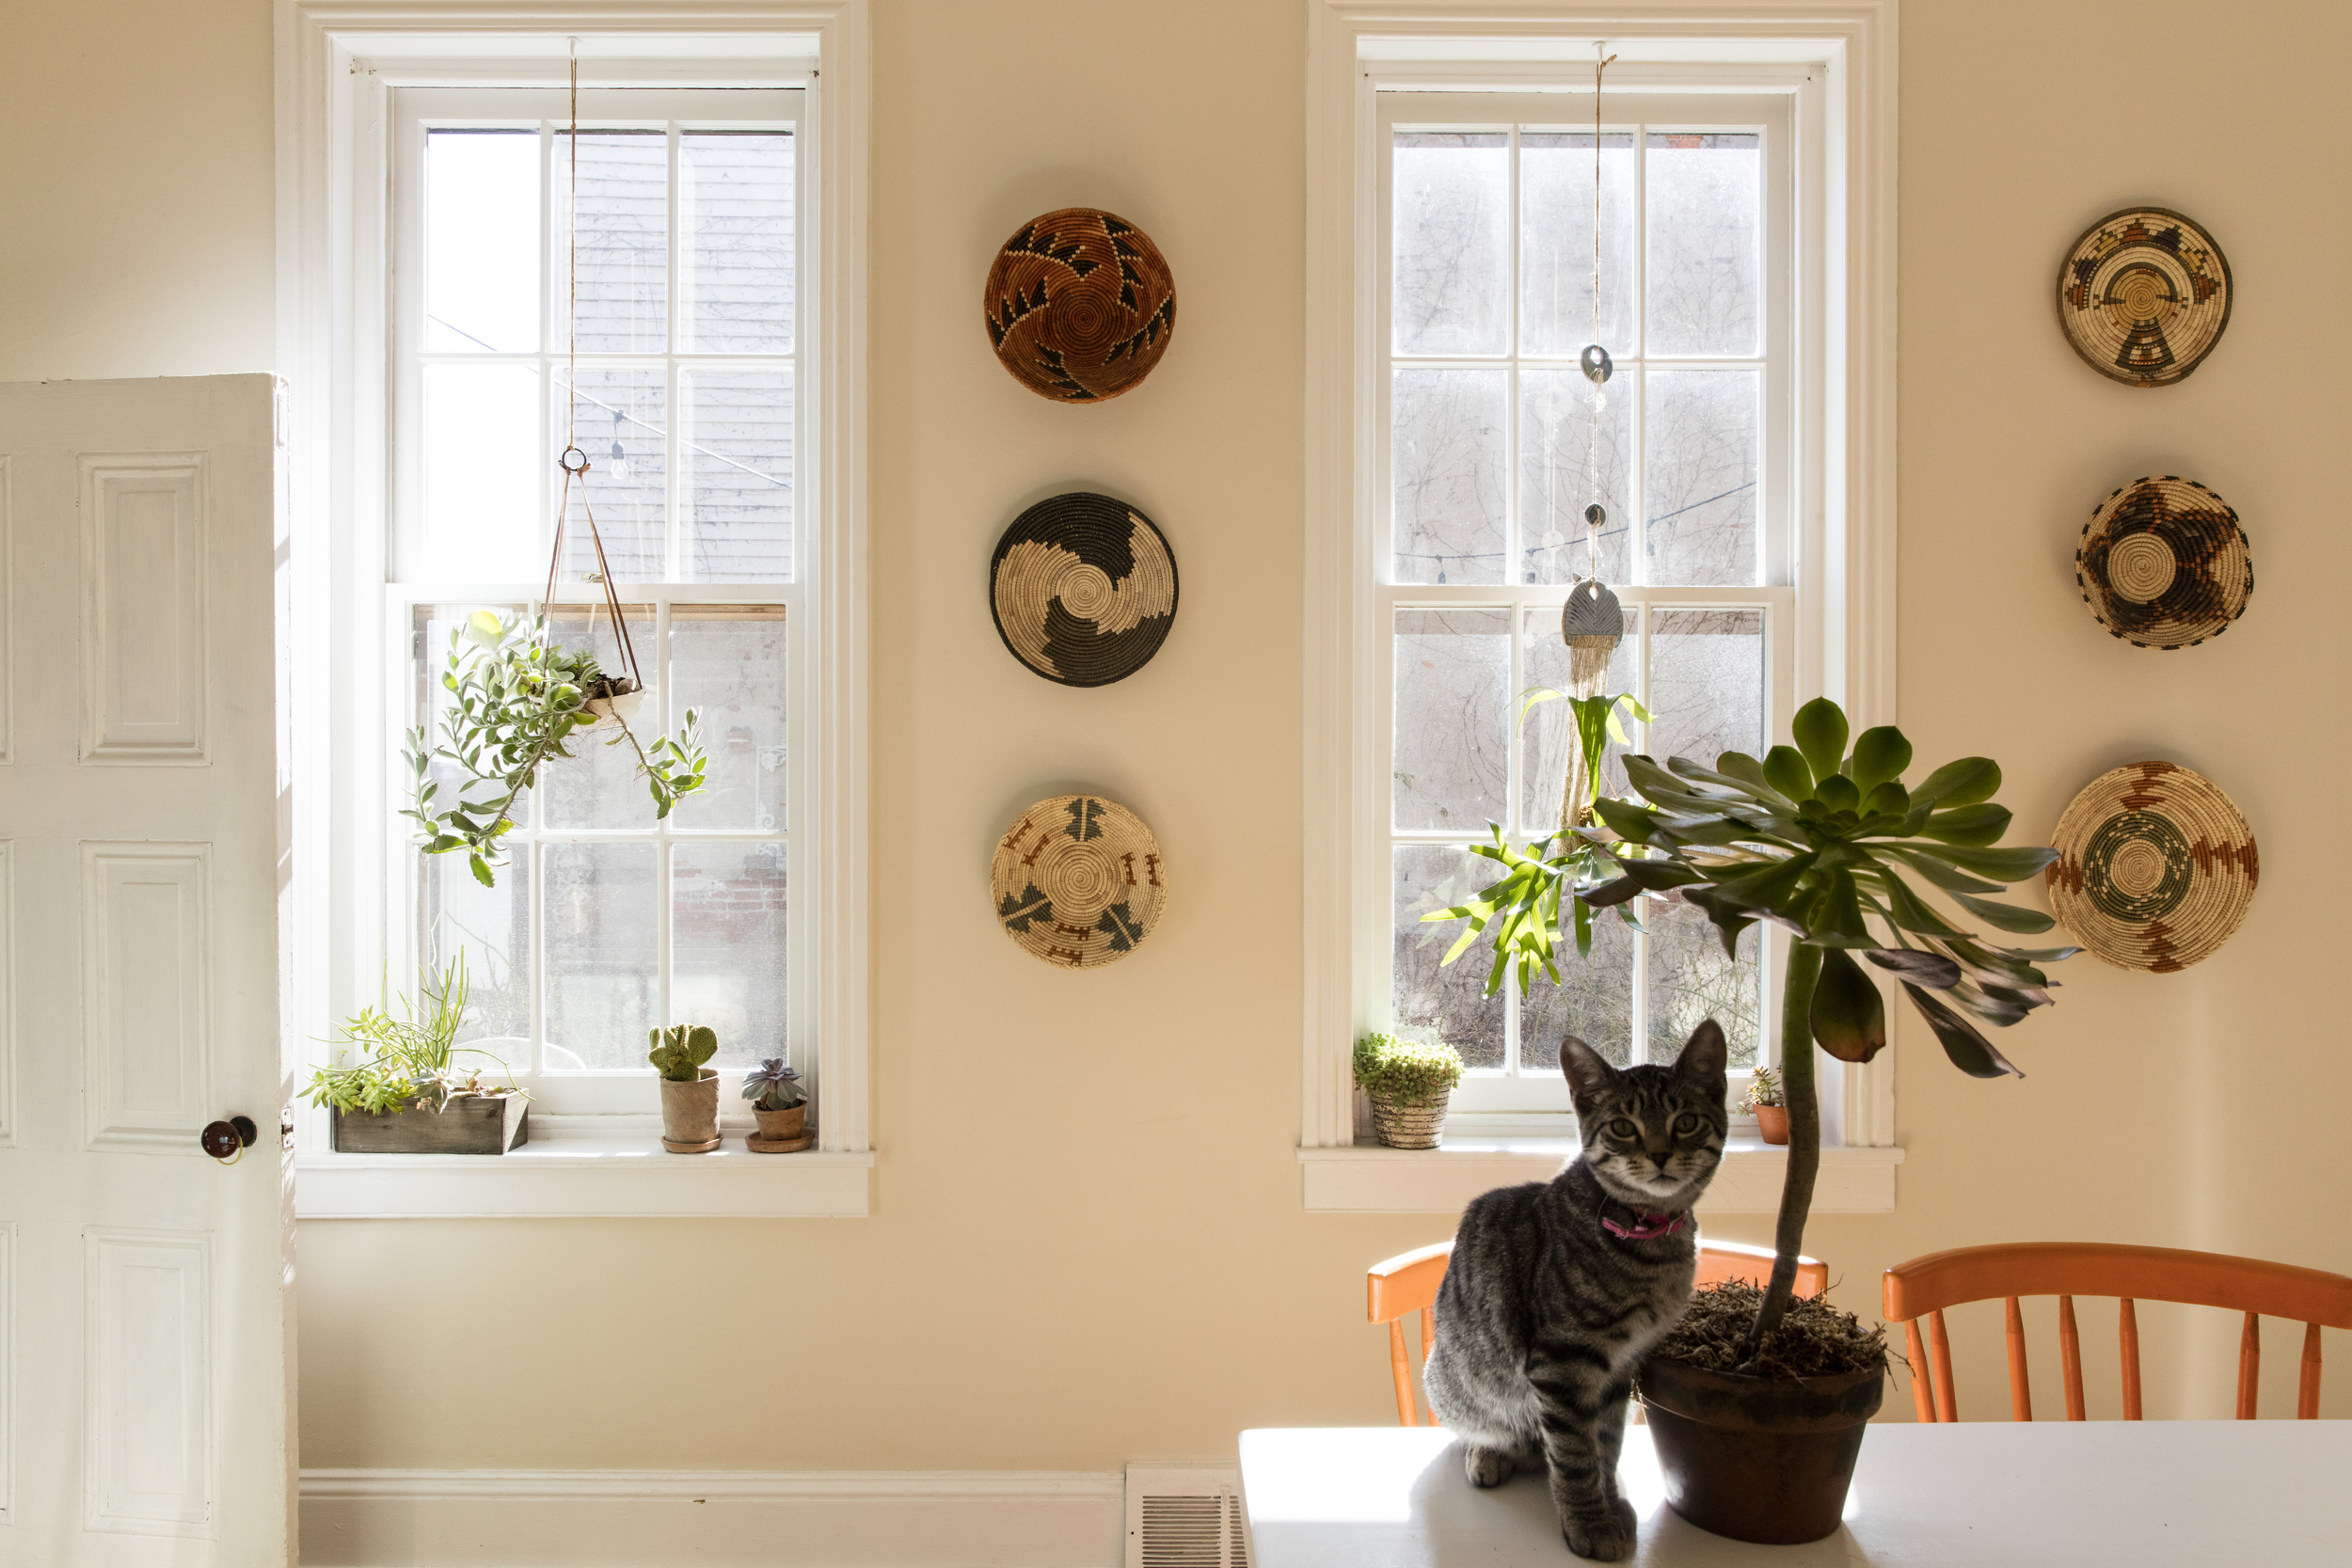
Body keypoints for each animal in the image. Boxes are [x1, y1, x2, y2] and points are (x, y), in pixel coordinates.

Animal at [1411, 1020, 1731, 1560]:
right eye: (1623, 1127)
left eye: (1686, 1121)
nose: (1660, 1154)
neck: (1649, 1244)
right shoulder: (1563, 1362)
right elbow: (1576, 1454)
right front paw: (1589, 1522)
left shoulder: (1621, 1367)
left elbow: (1606, 1442)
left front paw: (1609, 1498)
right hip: (1452, 1378)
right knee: (1478, 1427)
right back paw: (1490, 1452)